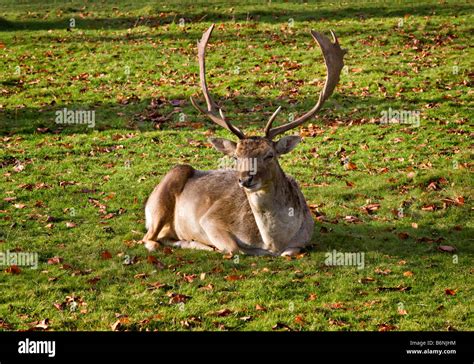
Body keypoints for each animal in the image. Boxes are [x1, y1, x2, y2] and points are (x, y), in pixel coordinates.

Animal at [143, 24, 346, 256]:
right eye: (236, 157)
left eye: (269, 155)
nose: (245, 179)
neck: (273, 243)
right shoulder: (210, 220)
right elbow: (234, 248)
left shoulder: (303, 238)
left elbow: (291, 251)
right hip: (165, 192)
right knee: (149, 238)